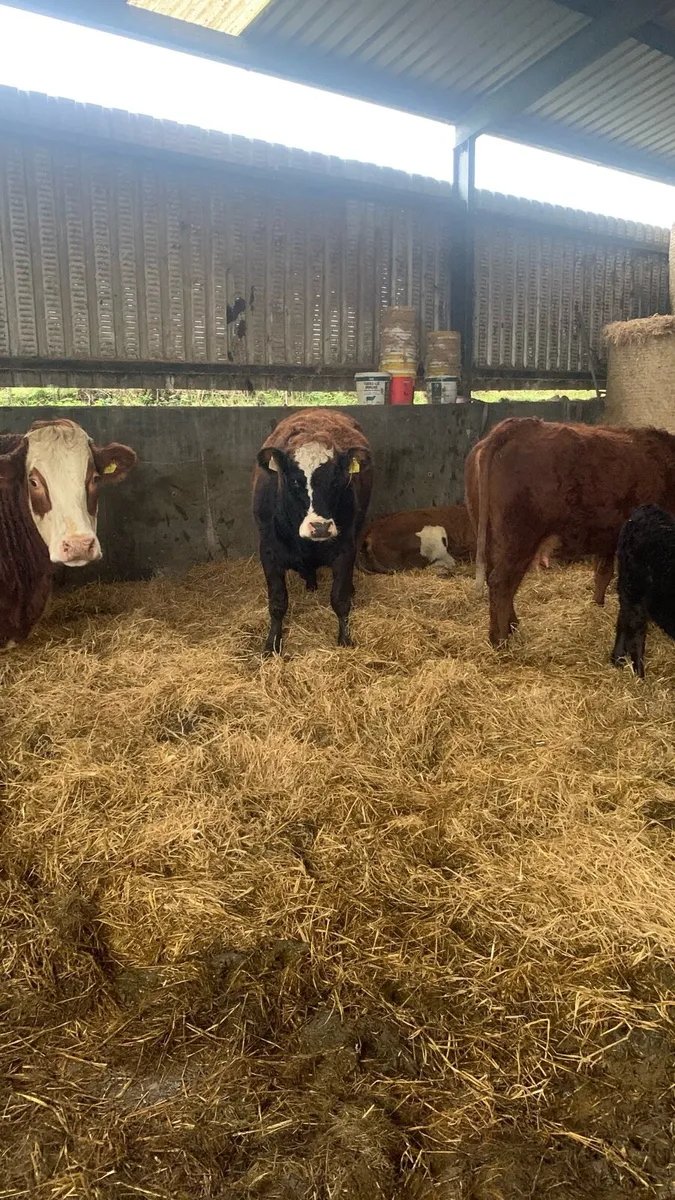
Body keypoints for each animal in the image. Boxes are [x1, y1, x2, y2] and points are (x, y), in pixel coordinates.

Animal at [253, 409, 372, 654]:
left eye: (336, 481)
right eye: (295, 481)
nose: (320, 527)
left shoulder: (346, 551)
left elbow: (340, 599)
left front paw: (345, 639)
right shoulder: (268, 552)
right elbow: (278, 602)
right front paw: (272, 644)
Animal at [464, 417, 675, 647]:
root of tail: (515, 426)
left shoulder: (608, 538)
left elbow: (603, 573)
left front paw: (597, 605)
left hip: (491, 538)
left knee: (495, 579)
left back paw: (511, 626)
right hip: (520, 540)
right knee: (501, 583)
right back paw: (500, 640)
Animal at [611, 505, 675, 679]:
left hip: (629, 588)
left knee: (624, 616)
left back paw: (618, 658)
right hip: (634, 587)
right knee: (636, 630)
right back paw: (639, 674)